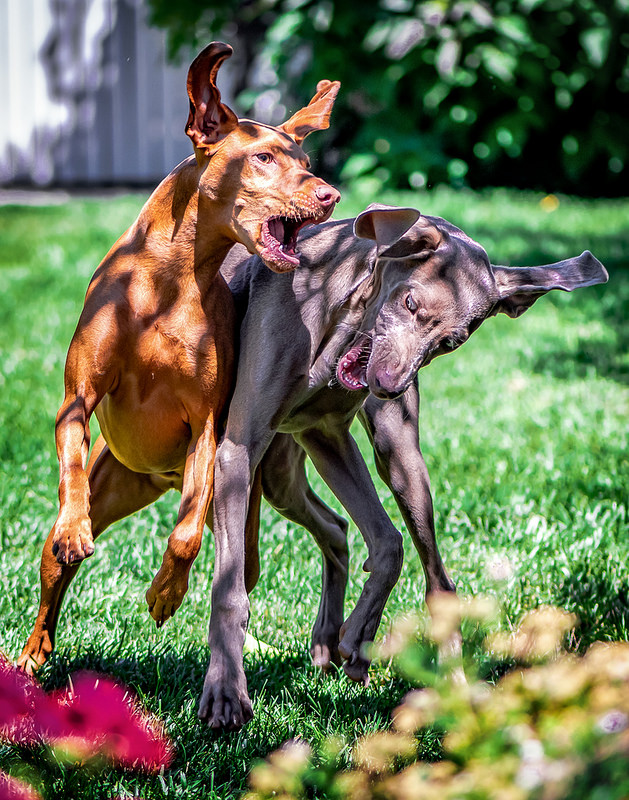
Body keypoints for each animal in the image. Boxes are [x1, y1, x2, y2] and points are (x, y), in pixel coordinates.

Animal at [17, 42, 338, 676]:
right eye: (263, 158)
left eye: (305, 159)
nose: (329, 195)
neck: (166, 283)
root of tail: (156, 480)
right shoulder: (77, 400)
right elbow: (70, 462)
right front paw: (74, 525)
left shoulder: (207, 428)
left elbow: (186, 536)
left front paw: (166, 589)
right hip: (115, 480)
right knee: (53, 568)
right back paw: (34, 651)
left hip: (233, 492)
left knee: (248, 554)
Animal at [197, 203, 608, 728]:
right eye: (410, 303)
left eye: (451, 342)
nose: (389, 385)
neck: (336, 320)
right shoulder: (242, 448)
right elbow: (231, 589)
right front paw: (226, 692)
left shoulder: (326, 433)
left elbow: (390, 545)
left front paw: (358, 637)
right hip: (275, 473)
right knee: (333, 527)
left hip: (395, 458)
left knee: (425, 571)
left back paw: (421, 676)